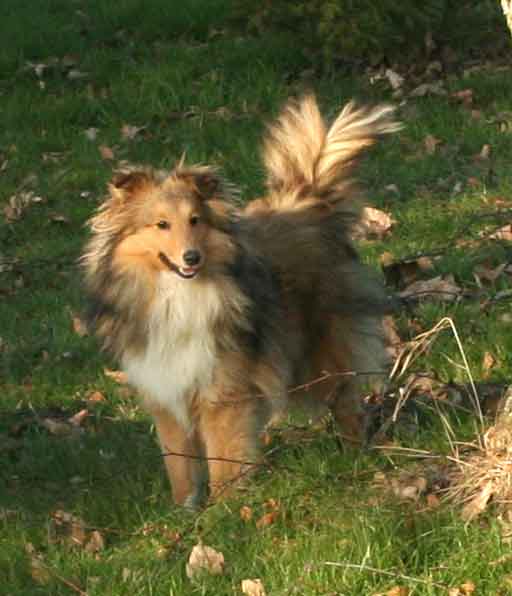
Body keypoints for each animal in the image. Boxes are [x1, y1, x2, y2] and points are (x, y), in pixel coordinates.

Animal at [81, 95, 400, 506]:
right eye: (162, 224)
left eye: (196, 220)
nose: (191, 258)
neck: (176, 296)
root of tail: (307, 204)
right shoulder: (166, 392)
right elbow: (180, 466)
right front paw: (186, 511)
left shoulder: (222, 391)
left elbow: (224, 459)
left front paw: (226, 508)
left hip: (322, 351)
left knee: (346, 399)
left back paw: (357, 455)